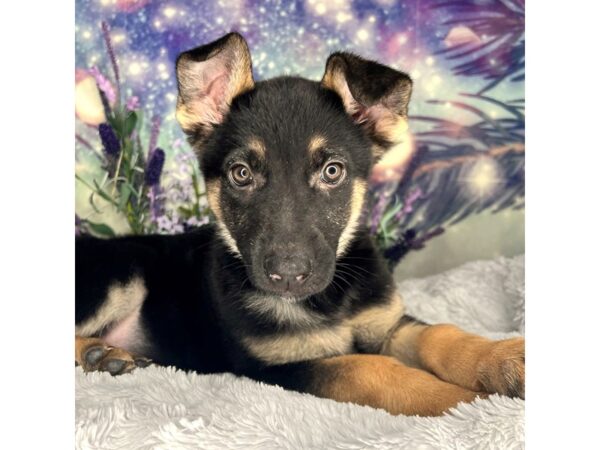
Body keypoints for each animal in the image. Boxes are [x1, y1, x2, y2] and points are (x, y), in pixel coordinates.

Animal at [76, 33, 524, 416]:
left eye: (332, 171)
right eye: (241, 174)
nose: (288, 276)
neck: (328, 300)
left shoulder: (386, 325)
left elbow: (441, 334)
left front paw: (505, 359)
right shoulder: (283, 365)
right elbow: (372, 370)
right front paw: (467, 403)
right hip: (122, 270)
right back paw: (97, 354)